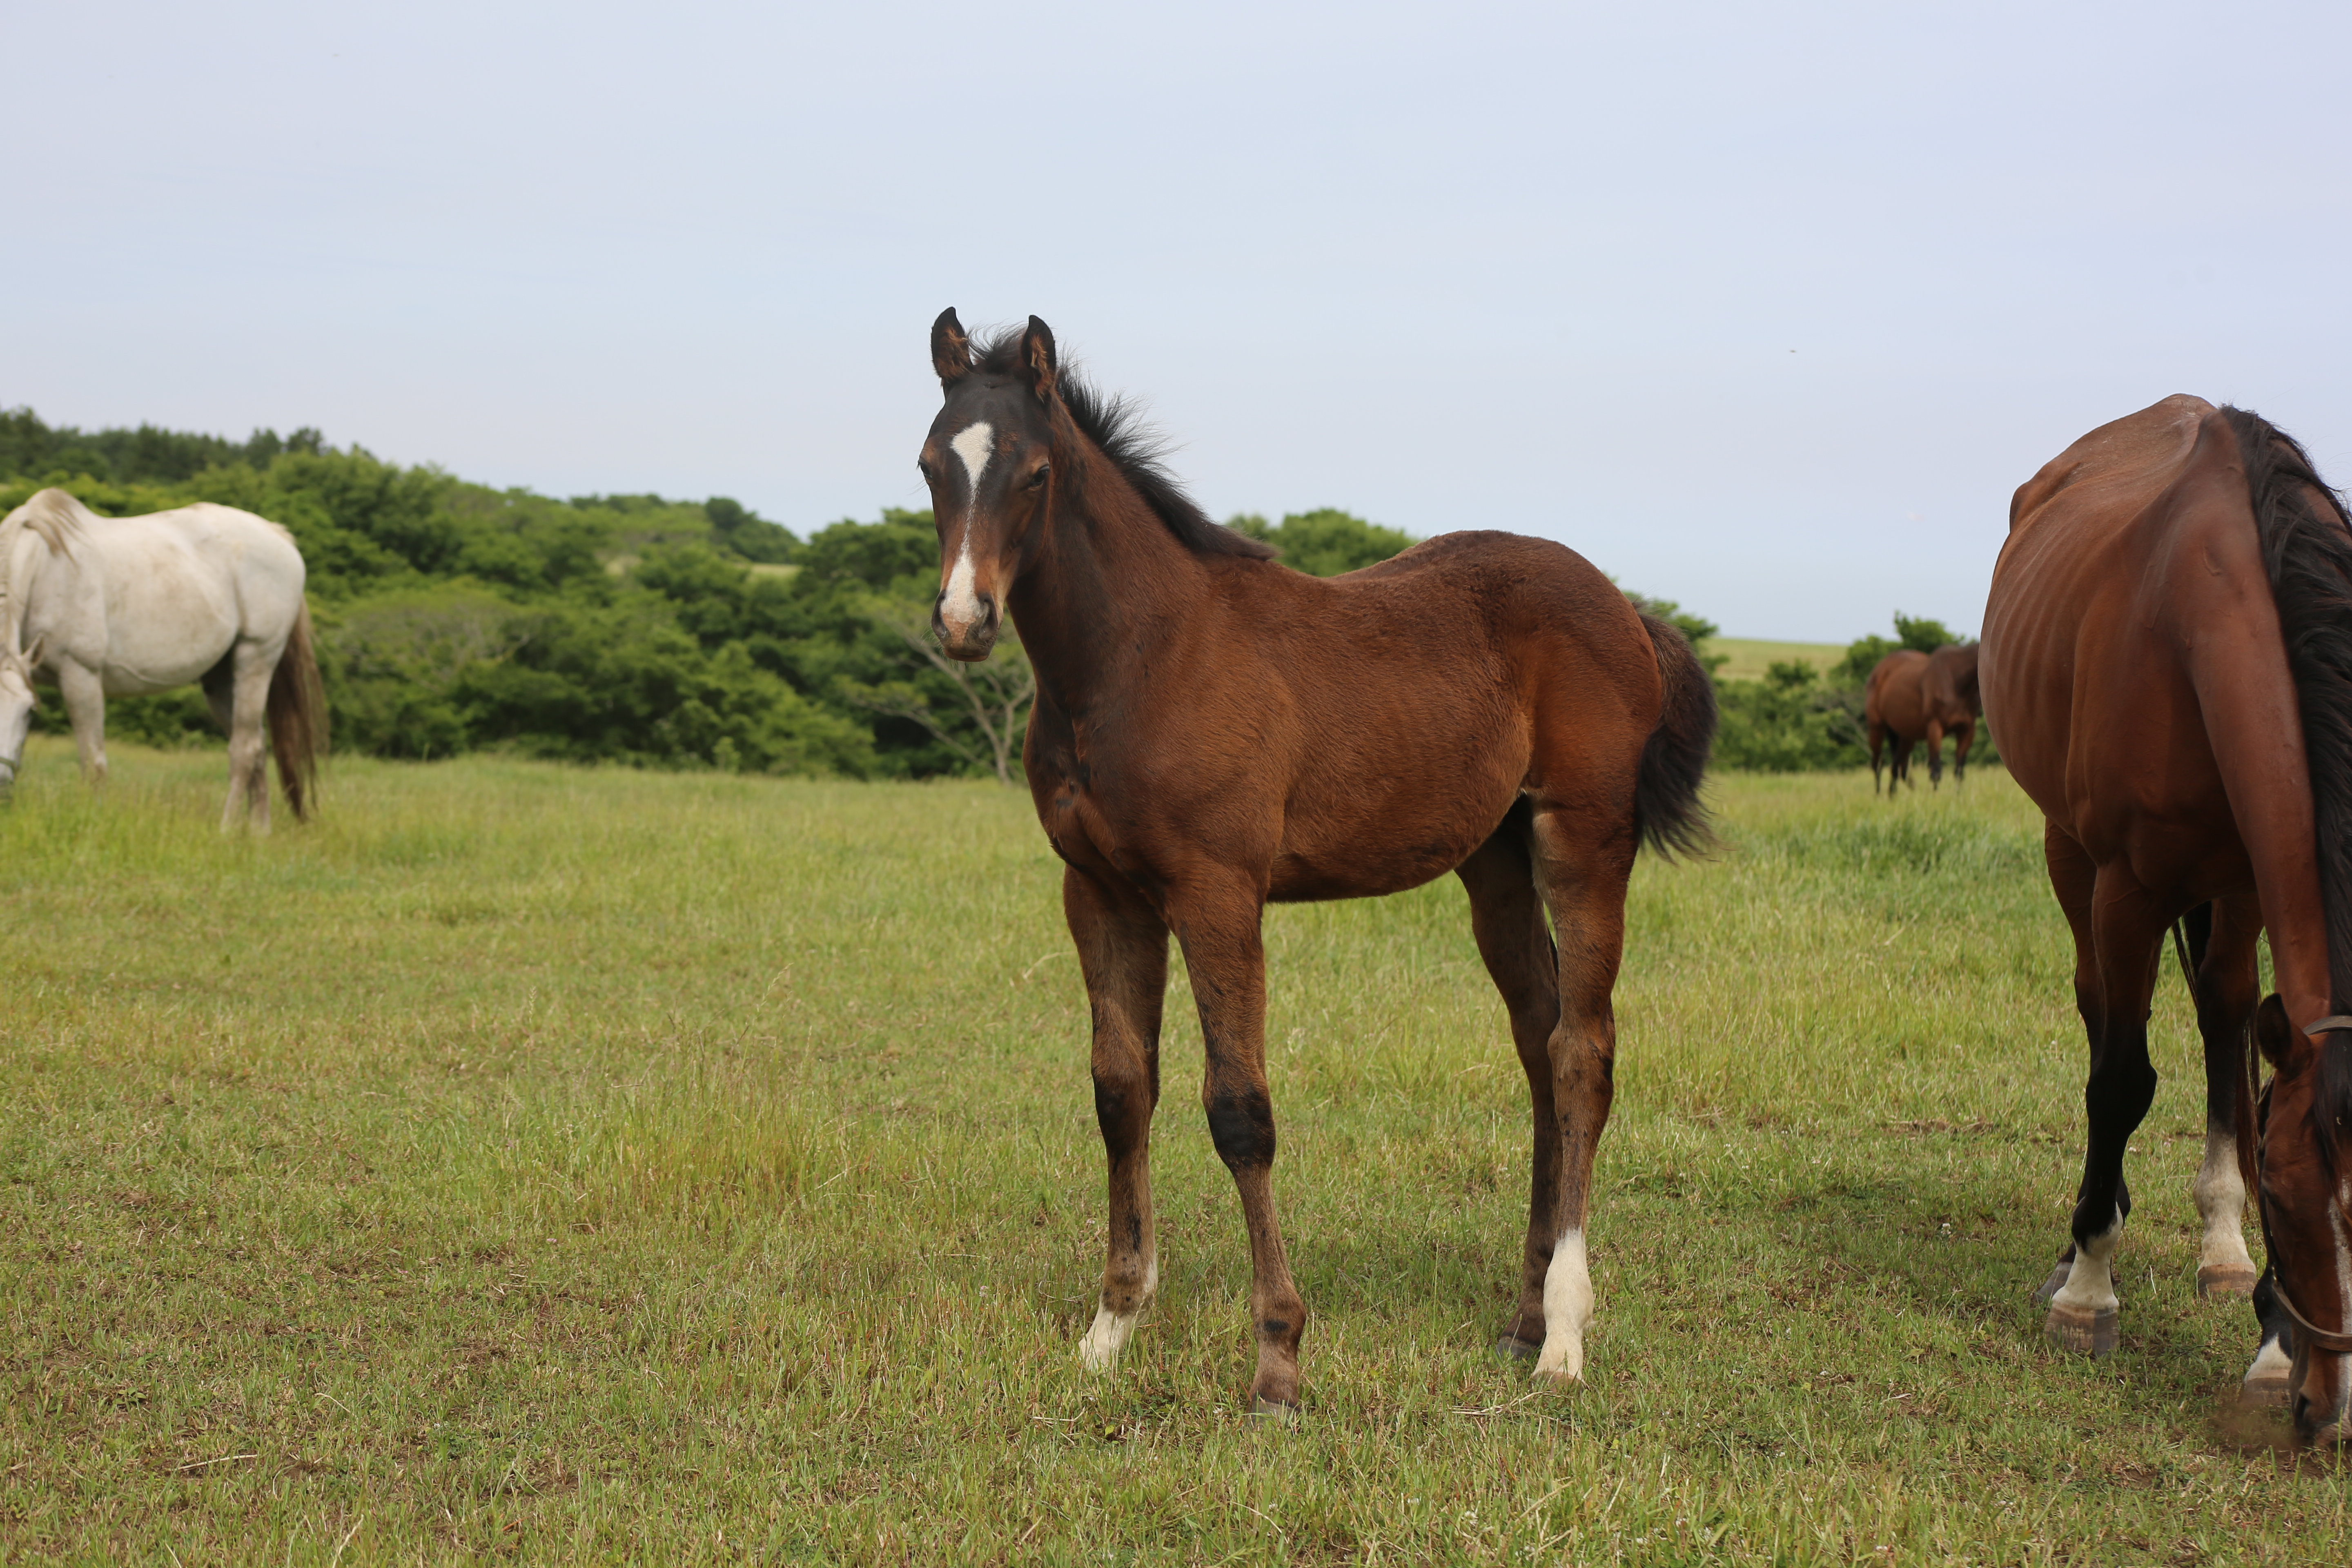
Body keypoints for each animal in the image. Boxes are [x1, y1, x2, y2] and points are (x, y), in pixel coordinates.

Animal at [0, 491, 324, 827]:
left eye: (30, 711)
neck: (47, 567)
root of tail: (279, 536)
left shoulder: (80, 676)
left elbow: (94, 764)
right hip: (221, 680)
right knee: (257, 746)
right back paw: (258, 832)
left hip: (256, 660)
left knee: (245, 749)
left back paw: (227, 830)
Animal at [1862, 639, 1976, 790]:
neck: (1956, 679)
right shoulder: (1934, 726)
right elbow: (1936, 771)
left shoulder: (1967, 729)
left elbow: (1959, 772)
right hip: (1877, 728)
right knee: (1878, 765)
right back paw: (1880, 794)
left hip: (1907, 735)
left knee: (1898, 766)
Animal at [1985, 399, 2352, 1439]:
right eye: (2291, 1201)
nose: (2327, 1409)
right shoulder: (2127, 886)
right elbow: (2119, 1080)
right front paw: (2086, 1295)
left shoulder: (2254, 879)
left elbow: (2238, 1053)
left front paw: (2268, 1334)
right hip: (2069, 852)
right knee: (2100, 1011)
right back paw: (2076, 1250)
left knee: (2224, 1017)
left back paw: (2222, 1251)